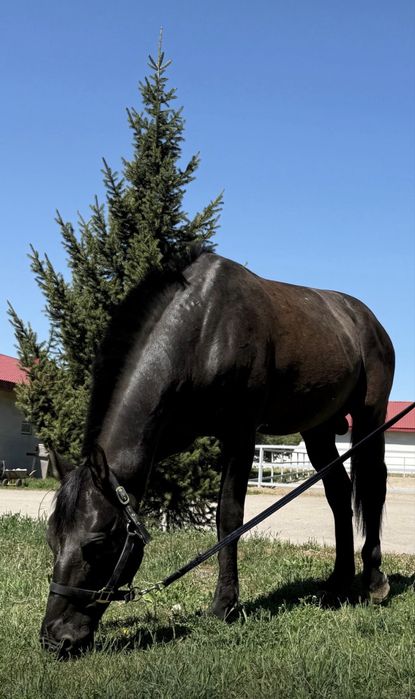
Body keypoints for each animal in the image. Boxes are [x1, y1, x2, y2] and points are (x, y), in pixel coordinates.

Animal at [41, 251, 395, 656]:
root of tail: (367, 319)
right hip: (317, 427)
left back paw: (374, 580)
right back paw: (338, 581)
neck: (203, 329)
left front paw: (224, 604)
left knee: (373, 488)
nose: (55, 637)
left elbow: (228, 517)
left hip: (370, 418)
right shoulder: (168, 437)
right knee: (338, 493)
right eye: (52, 538)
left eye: (96, 544)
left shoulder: (239, 434)